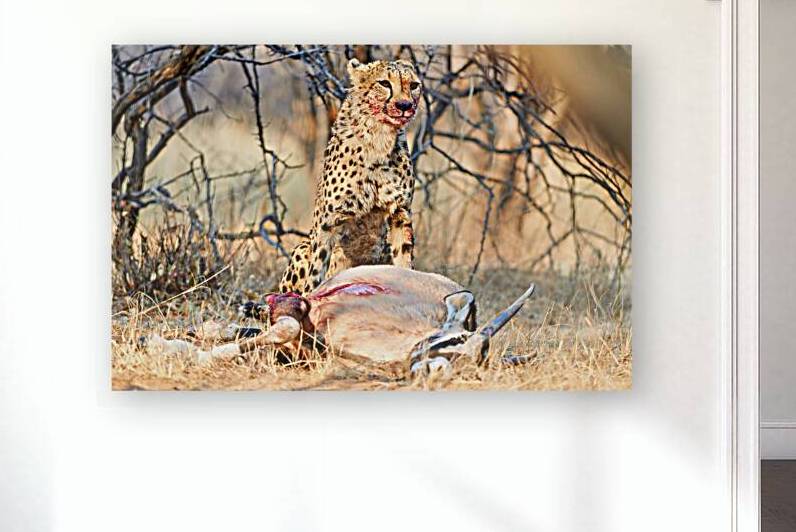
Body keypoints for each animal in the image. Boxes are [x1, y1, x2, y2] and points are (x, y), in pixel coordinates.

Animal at [278, 58, 422, 295]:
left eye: (414, 86)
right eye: (384, 83)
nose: (405, 106)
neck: (379, 139)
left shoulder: (400, 212)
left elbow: (404, 260)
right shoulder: (328, 221)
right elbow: (316, 270)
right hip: (301, 247)